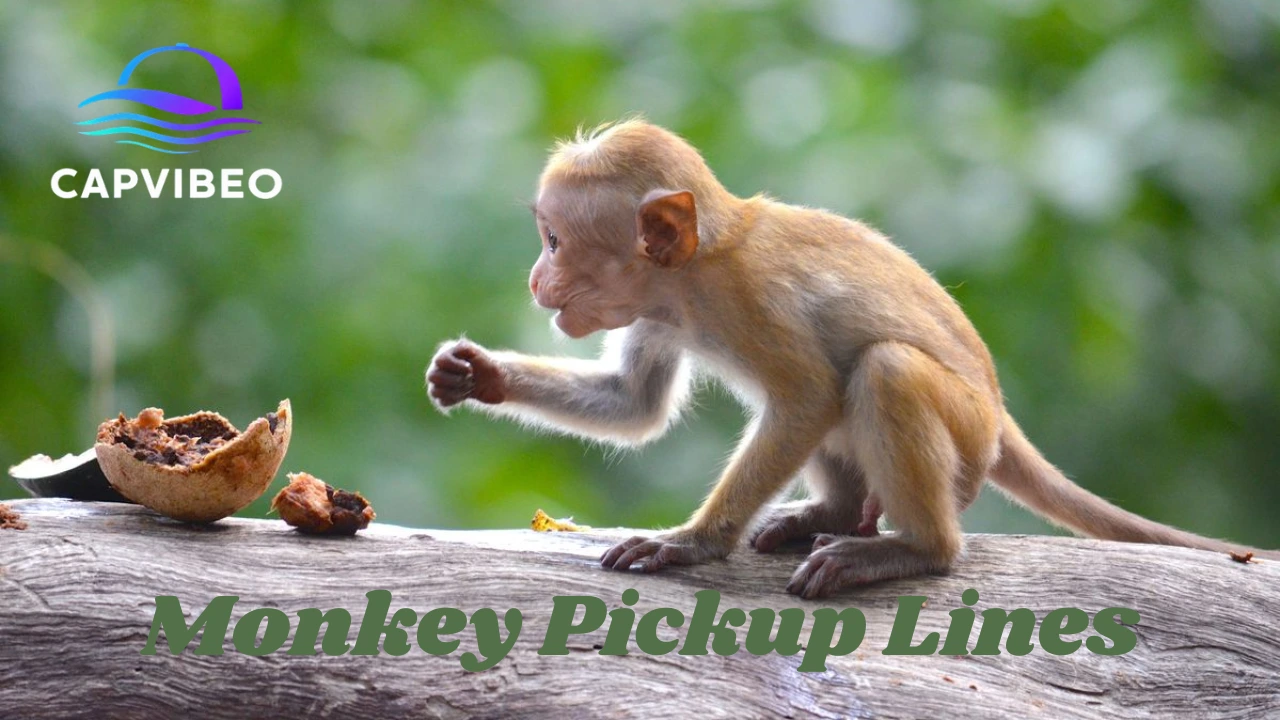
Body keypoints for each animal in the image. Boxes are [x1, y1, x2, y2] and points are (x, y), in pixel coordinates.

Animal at [427, 119, 1275, 598]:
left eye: (553, 241)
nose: (535, 279)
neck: (696, 270)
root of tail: (999, 415)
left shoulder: (749, 297)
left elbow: (806, 397)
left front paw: (691, 543)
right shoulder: (661, 312)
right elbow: (633, 403)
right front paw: (475, 375)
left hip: (965, 442)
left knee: (879, 372)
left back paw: (914, 550)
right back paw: (832, 515)